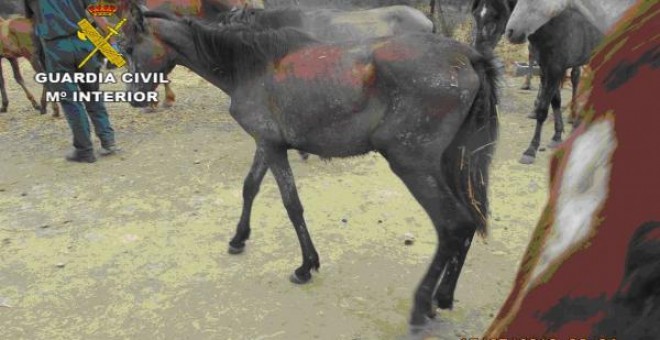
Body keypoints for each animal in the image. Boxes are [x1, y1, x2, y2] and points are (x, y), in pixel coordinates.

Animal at [121, 3, 498, 332]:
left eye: (129, 48)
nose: (134, 97)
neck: (251, 66)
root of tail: (467, 56)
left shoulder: (273, 149)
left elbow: (292, 205)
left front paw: (306, 266)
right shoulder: (267, 144)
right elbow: (250, 187)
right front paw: (239, 238)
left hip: (413, 166)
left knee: (452, 225)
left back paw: (421, 306)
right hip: (449, 164)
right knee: (468, 222)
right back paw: (443, 298)